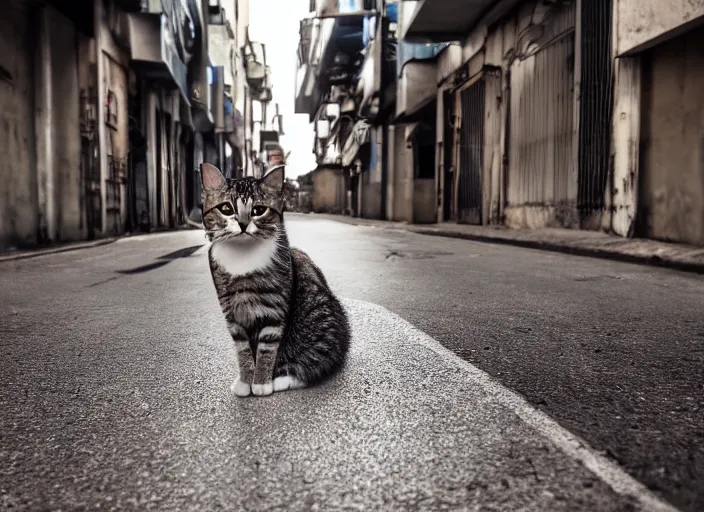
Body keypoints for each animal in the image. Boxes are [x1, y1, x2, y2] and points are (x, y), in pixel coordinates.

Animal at [199, 163, 350, 396]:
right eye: (226, 209)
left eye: (258, 210)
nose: (243, 223)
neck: (243, 256)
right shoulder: (232, 315)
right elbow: (243, 351)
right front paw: (245, 380)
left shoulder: (274, 310)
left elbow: (267, 349)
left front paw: (261, 383)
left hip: (321, 322)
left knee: (318, 360)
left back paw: (281, 379)